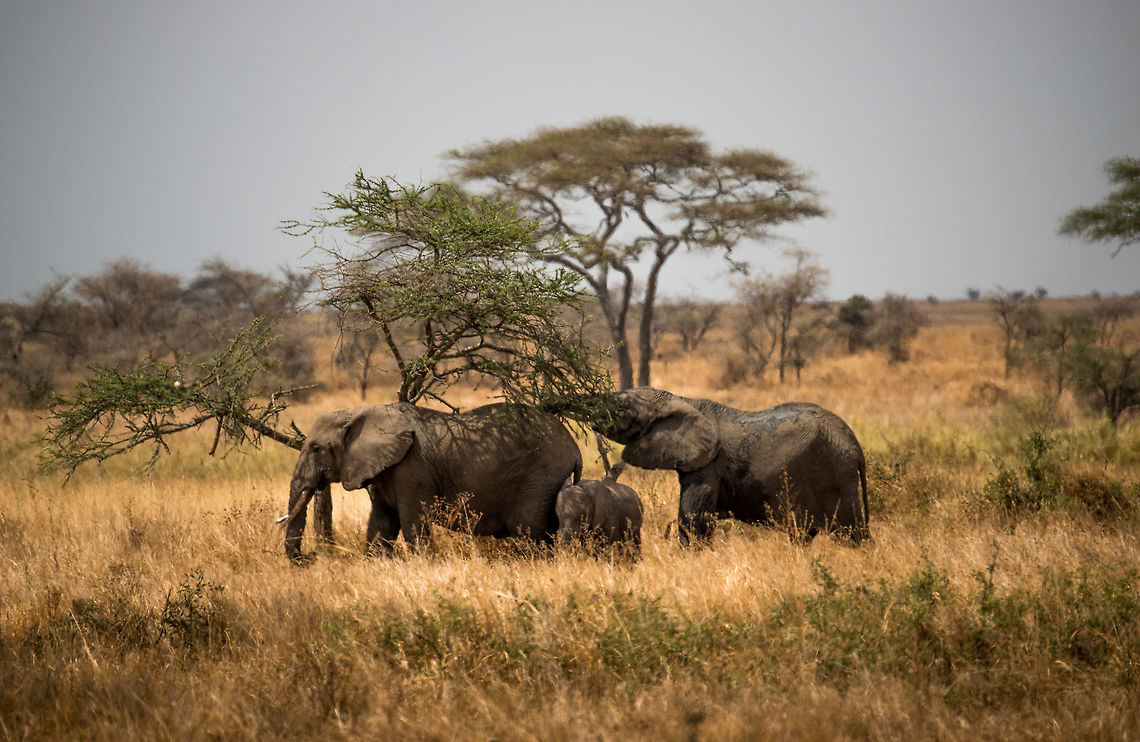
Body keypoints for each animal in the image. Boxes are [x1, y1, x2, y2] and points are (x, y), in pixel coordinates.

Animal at [281, 402, 582, 560]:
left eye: (316, 448)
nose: (310, 557)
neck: (357, 412)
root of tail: (575, 449)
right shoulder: (383, 469)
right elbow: (382, 522)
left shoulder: (411, 467)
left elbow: (414, 522)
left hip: (541, 478)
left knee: (528, 532)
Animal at [595, 387, 868, 545]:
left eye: (621, 408)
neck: (682, 400)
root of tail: (855, 445)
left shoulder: (709, 466)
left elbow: (694, 517)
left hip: (835, 475)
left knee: (850, 530)